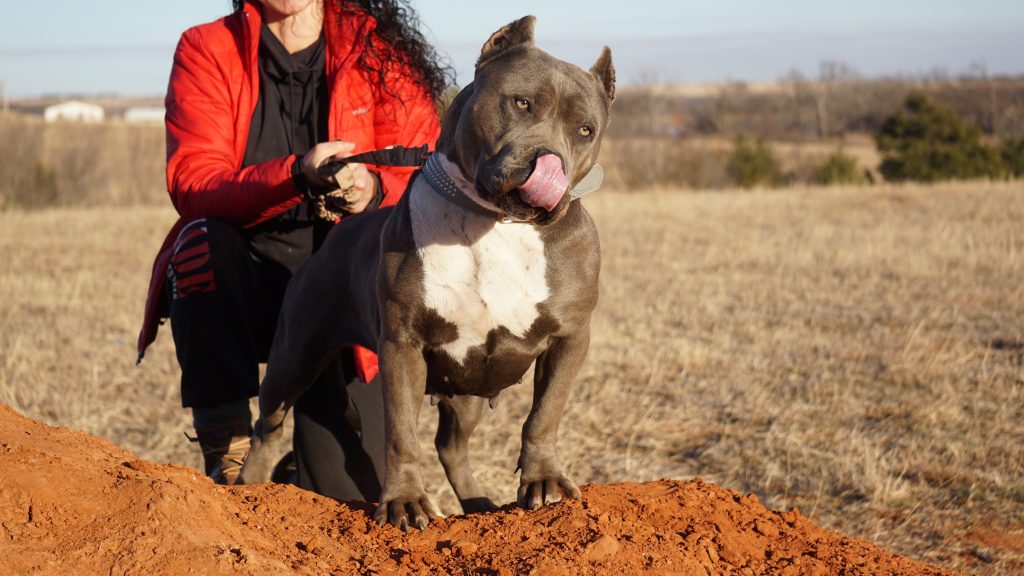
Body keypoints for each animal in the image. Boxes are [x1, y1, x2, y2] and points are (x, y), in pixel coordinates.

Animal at [237, 15, 614, 528]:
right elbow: (401, 434)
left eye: (585, 130)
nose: (548, 162)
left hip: (468, 387)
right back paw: (246, 489)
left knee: (451, 447)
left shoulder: (570, 338)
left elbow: (544, 414)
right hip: (294, 355)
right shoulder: (403, 343)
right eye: (521, 102)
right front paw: (404, 501)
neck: (494, 222)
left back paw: (479, 505)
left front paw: (544, 481)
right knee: (268, 425)